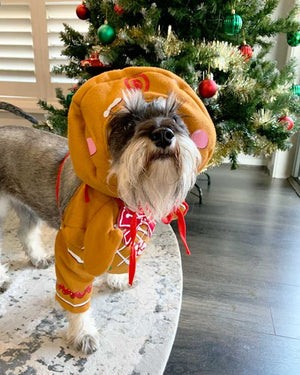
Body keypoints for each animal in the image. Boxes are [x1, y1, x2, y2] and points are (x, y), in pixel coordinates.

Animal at [0, 67, 216, 356]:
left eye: (174, 117)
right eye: (126, 123)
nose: (164, 134)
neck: (121, 197)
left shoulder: (129, 238)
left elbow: (120, 261)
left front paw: (117, 279)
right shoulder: (73, 255)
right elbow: (77, 299)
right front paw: (82, 334)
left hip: (27, 206)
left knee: (25, 233)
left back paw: (37, 257)